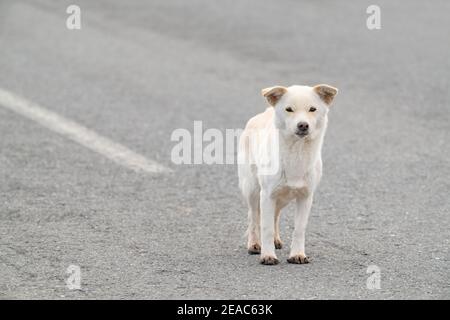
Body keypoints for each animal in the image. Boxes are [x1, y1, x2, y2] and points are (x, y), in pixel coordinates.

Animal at [239, 84, 338, 264]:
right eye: (289, 109)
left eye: (312, 109)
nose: (303, 125)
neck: (296, 154)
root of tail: (264, 112)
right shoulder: (267, 195)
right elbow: (266, 227)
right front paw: (268, 255)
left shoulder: (305, 197)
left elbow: (299, 228)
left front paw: (297, 254)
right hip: (252, 190)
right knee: (253, 217)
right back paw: (254, 244)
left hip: (282, 198)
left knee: (275, 215)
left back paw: (275, 240)